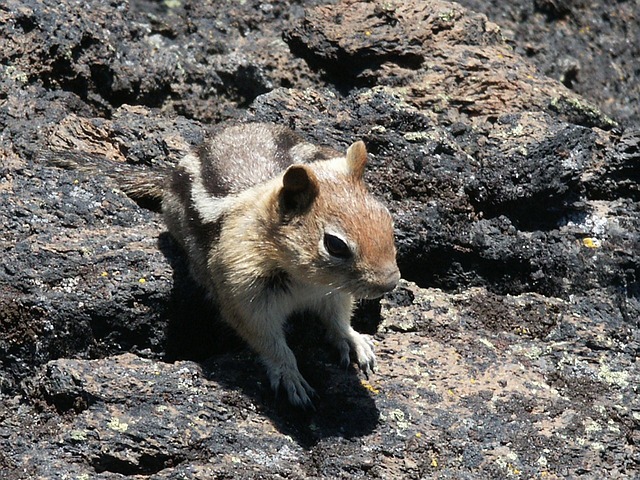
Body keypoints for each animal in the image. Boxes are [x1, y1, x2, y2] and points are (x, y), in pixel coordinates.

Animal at [51, 122, 400, 408]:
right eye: (335, 245)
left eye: (387, 219)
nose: (391, 282)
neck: (308, 281)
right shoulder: (243, 294)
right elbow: (269, 342)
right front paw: (291, 377)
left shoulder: (334, 293)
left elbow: (338, 319)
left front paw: (355, 341)